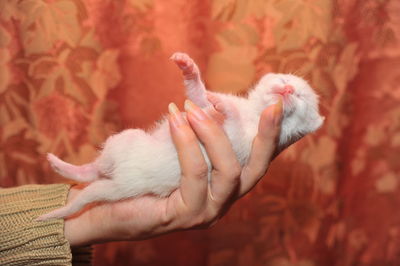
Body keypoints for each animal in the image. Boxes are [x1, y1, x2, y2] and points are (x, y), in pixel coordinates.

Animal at [36, 52, 324, 220]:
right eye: (284, 78)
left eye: (301, 98)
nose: (287, 89)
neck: (253, 113)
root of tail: (117, 174)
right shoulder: (200, 106)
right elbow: (198, 94)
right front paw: (189, 68)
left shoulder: (244, 142)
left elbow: (231, 119)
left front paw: (222, 103)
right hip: (125, 141)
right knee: (96, 168)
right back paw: (61, 165)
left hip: (117, 187)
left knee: (91, 184)